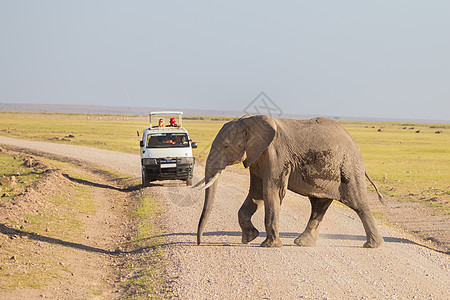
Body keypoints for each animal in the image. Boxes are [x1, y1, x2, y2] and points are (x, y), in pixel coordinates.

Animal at [196, 115, 384, 248]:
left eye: (226, 146)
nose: (198, 242)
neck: (248, 120)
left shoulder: (276, 155)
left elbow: (270, 192)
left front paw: (269, 245)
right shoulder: (257, 157)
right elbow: (256, 194)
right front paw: (249, 237)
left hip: (349, 168)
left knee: (358, 204)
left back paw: (372, 245)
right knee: (319, 205)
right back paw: (302, 243)